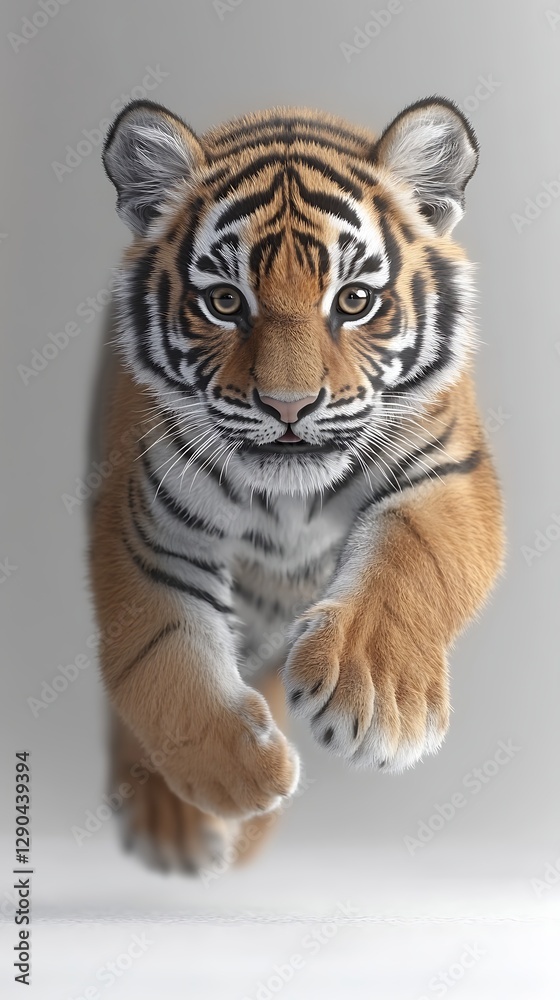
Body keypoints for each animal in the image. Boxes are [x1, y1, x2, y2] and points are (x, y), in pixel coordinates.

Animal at [90, 96, 505, 873]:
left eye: (356, 299)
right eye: (225, 302)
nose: (288, 406)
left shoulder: (448, 473)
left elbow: (411, 560)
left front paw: (374, 702)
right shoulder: (145, 532)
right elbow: (162, 660)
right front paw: (233, 773)